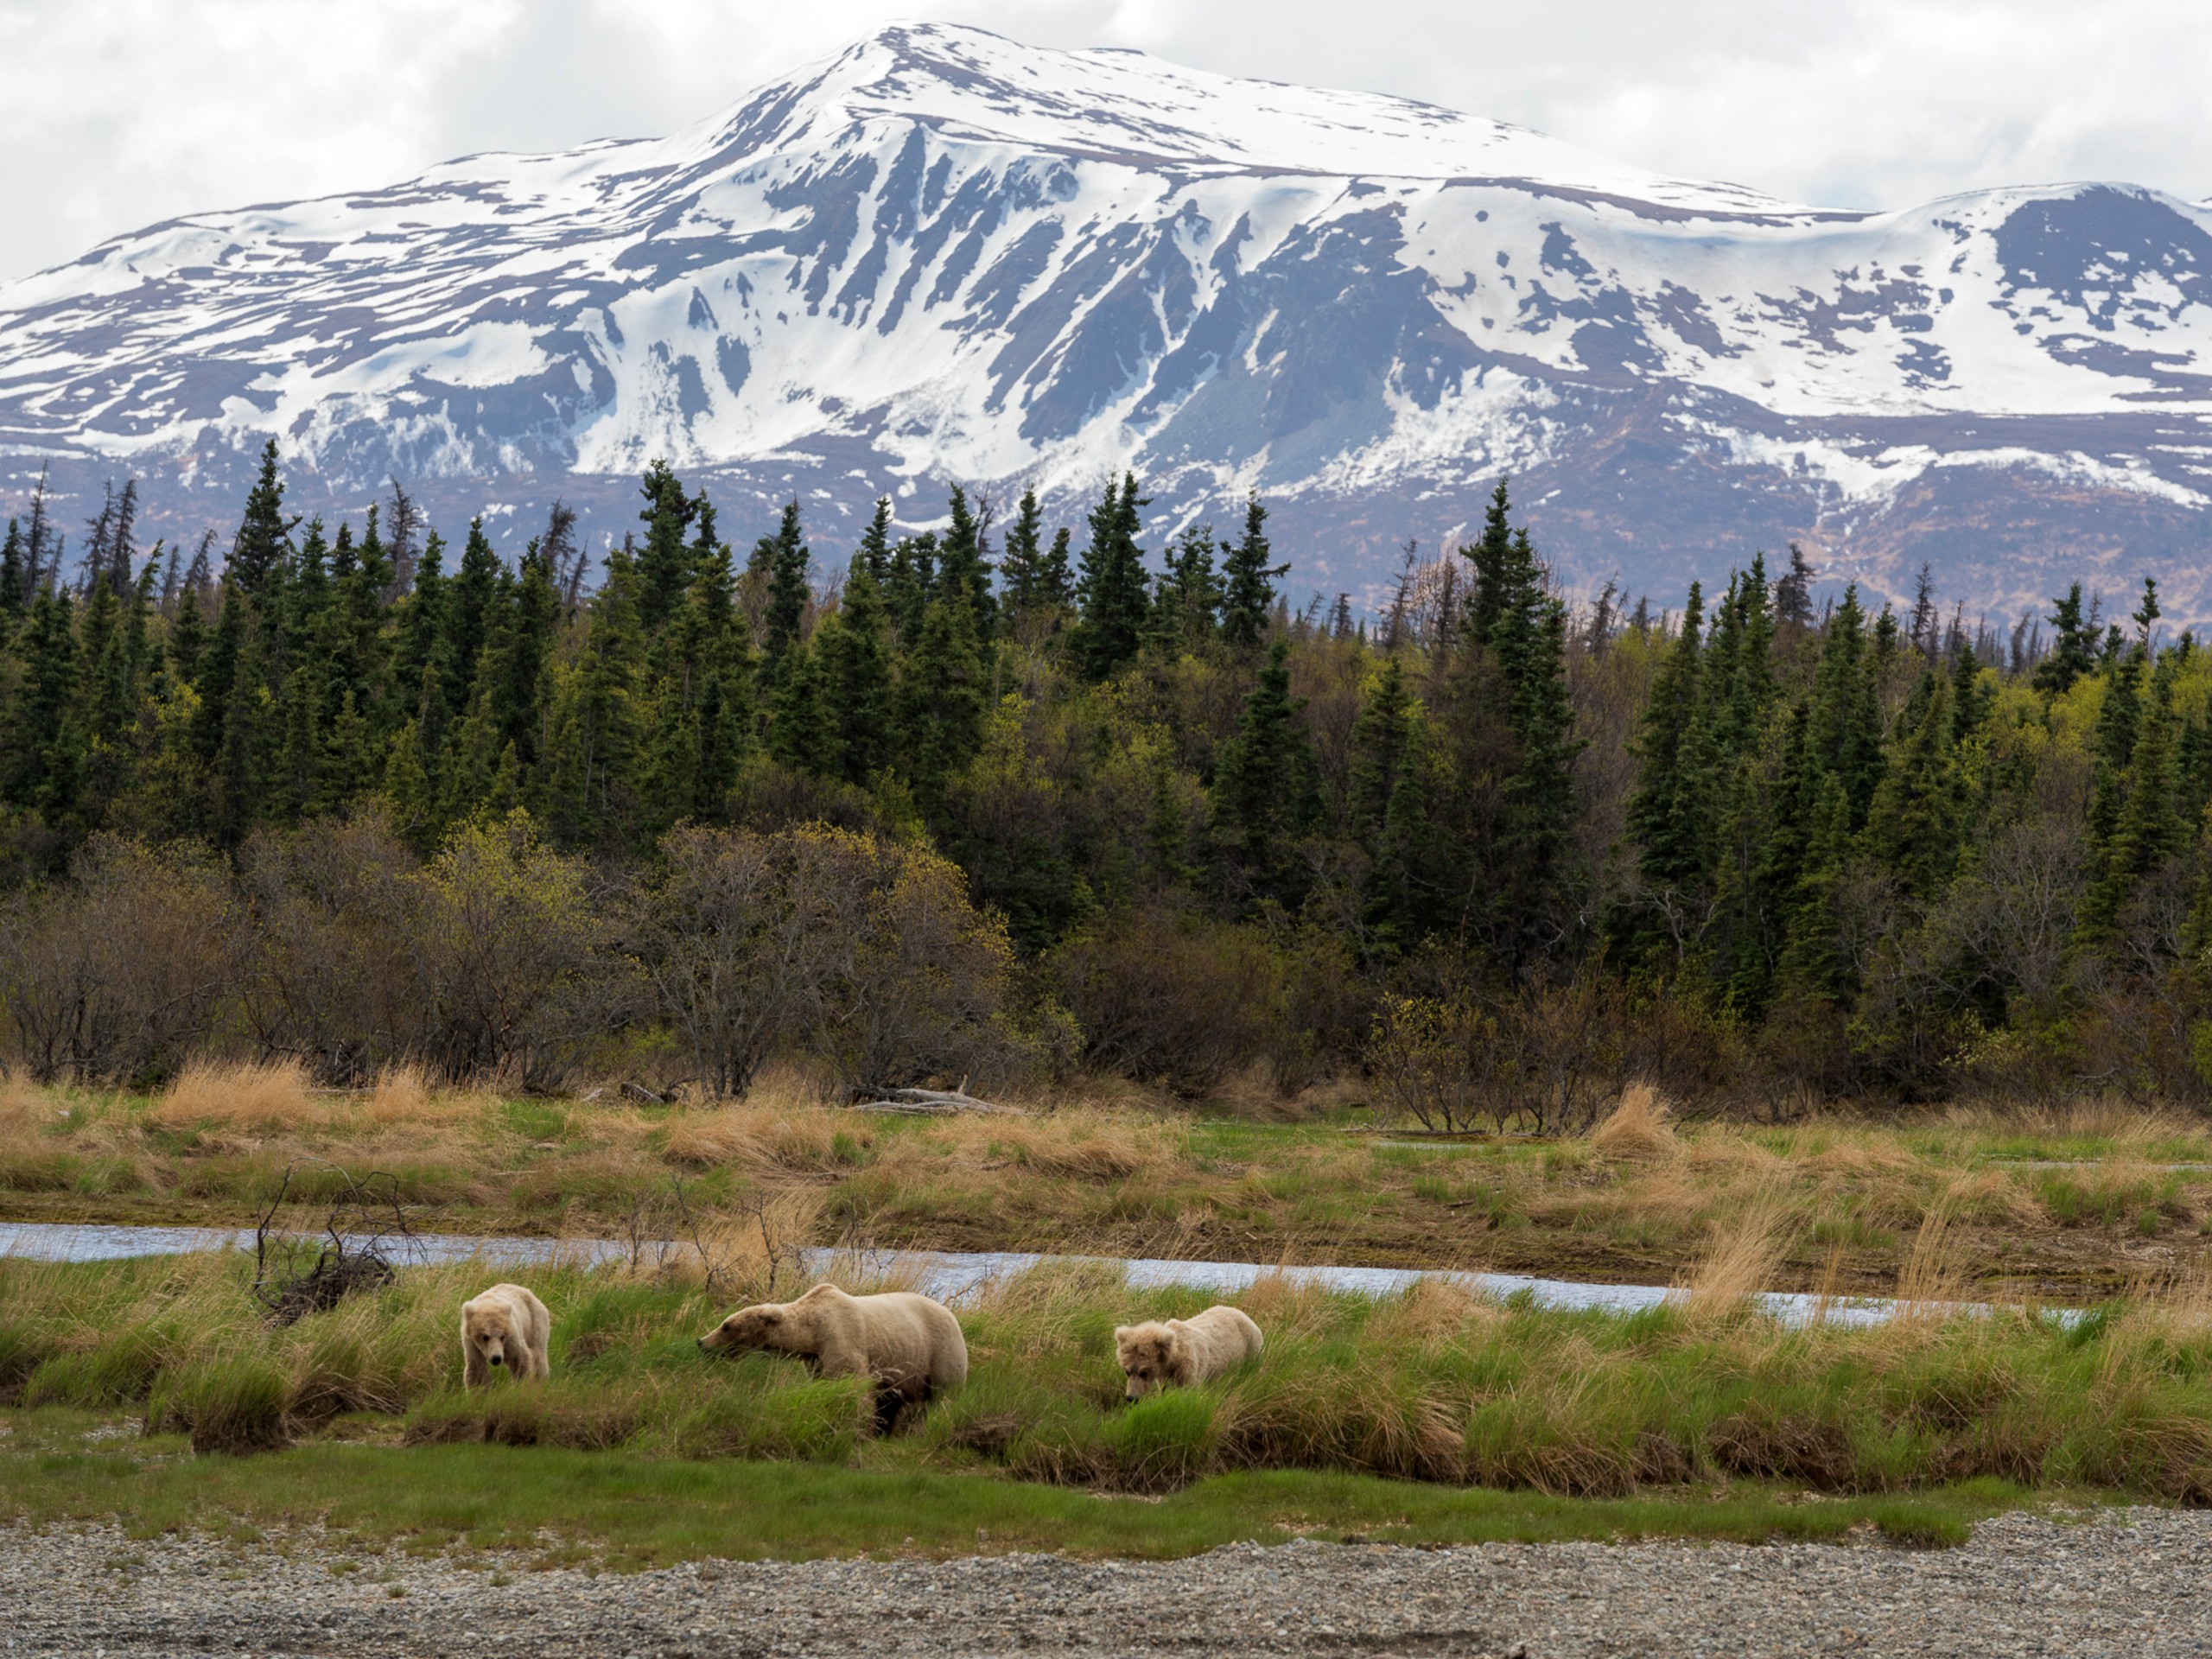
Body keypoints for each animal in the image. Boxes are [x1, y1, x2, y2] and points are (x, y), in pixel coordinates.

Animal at [694, 1282, 964, 1433]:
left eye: (726, 1326)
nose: (702, 1342)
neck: (810, 1333)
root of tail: (951, 1314)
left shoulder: (842, 1337)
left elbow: (851, 1386)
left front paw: (854, 1426)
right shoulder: (816, 1358)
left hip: (939, 1354)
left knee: (942, 1395)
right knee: (889, 1403)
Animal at [1106, 1309, 1265, 1407]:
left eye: (1144, 1372)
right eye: (1127, 1371)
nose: (1131, 1398)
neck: (1172, 1360)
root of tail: (1244, 1314)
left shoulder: (1190, 1368)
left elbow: (1189, 1392)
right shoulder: (1165, 1376)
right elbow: (1165, 1390)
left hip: (1250, 1349)